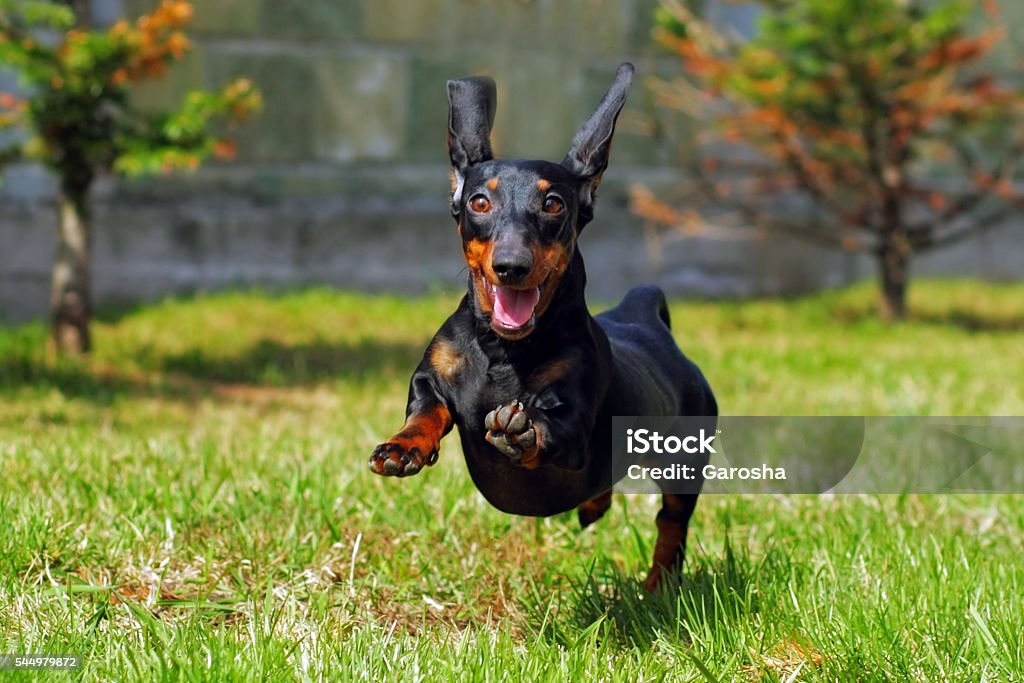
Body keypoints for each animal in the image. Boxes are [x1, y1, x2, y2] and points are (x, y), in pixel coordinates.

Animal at [372, 61, 716, 589]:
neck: (503, 350)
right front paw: (403, 446)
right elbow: (427, 409)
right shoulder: (430, 378)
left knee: (671, 522)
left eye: (553, 203)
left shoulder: (573, 420)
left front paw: (521, 431)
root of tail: (642, 316)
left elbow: (553, 430)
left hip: (685, 460)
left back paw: (658, 586)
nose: (511, 266)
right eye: (478, 203)